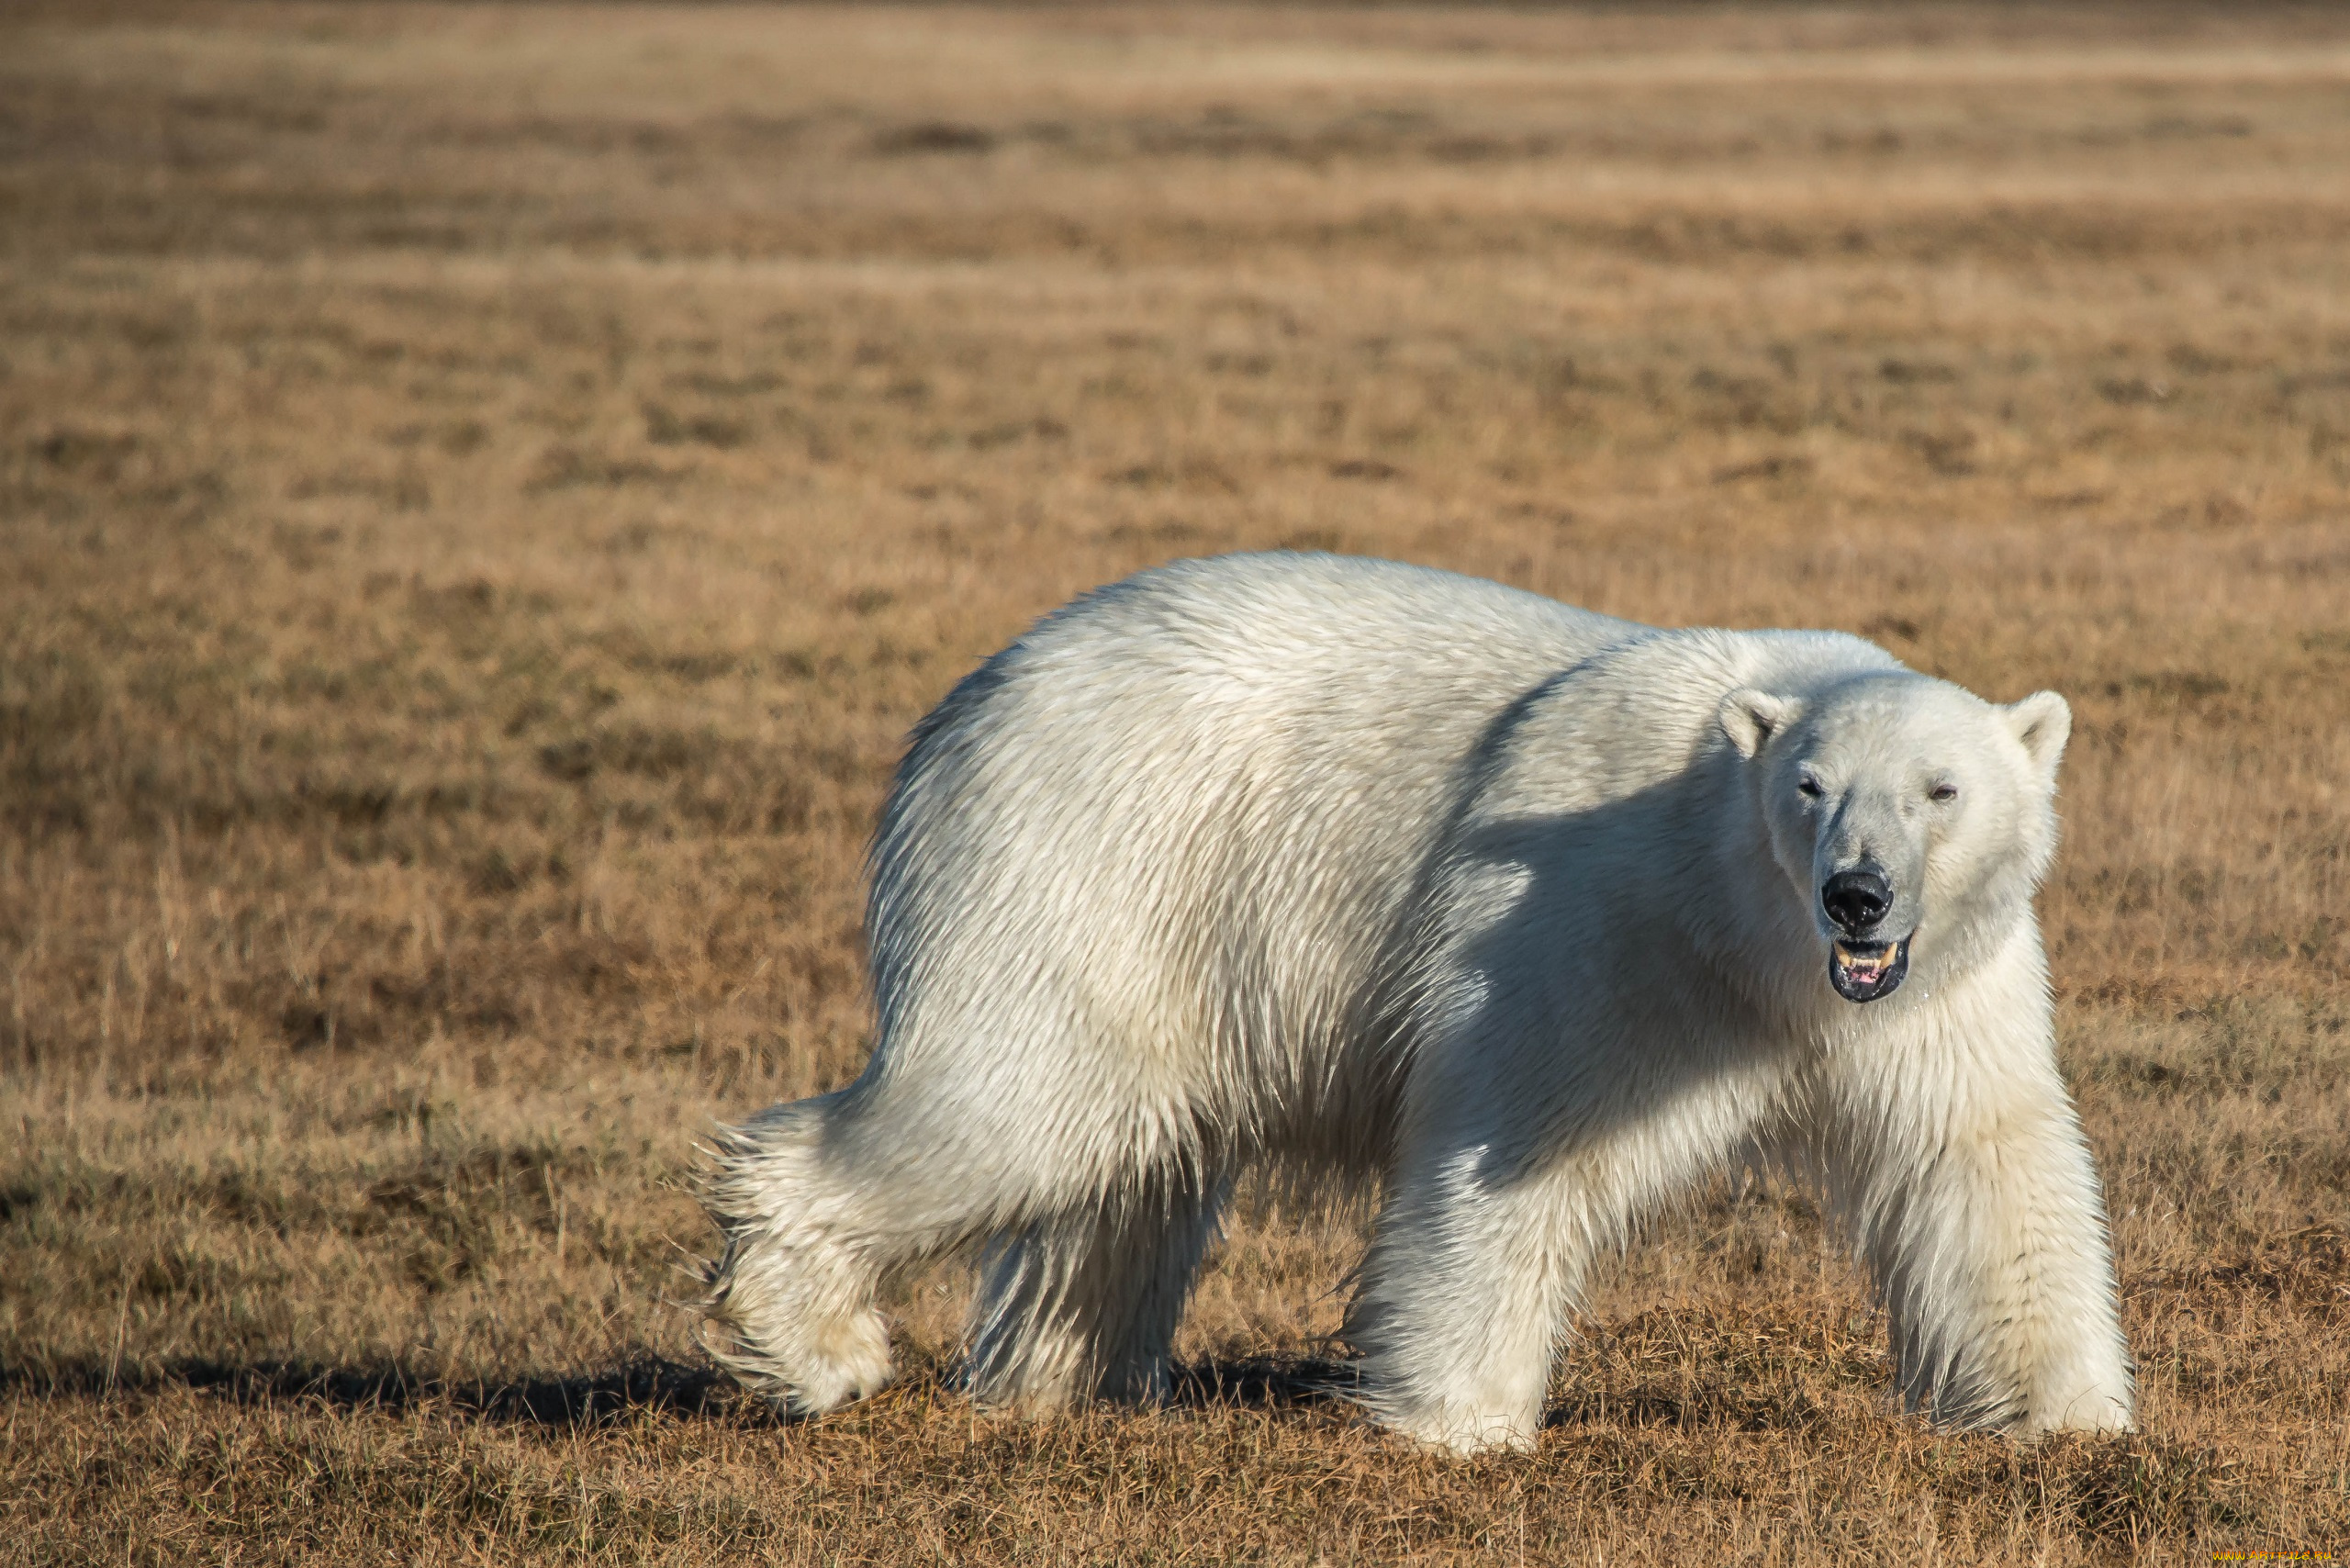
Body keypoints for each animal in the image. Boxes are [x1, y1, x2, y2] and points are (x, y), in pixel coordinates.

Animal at [690, 554, 2133, 1457]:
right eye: (1811, 788)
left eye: (1941, 789)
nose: (1857, 896)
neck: (1745, 926)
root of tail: (965, 702)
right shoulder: (1596, 925)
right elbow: (1514, 1147)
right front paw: (1460, 1422)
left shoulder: (1947, 989)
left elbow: (1980, 1162)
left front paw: (2073, 1417)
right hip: (1087, 855)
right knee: (1012, 1105)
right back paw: (810, 1343)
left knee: (1123, 1164)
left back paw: (1066, 1378)